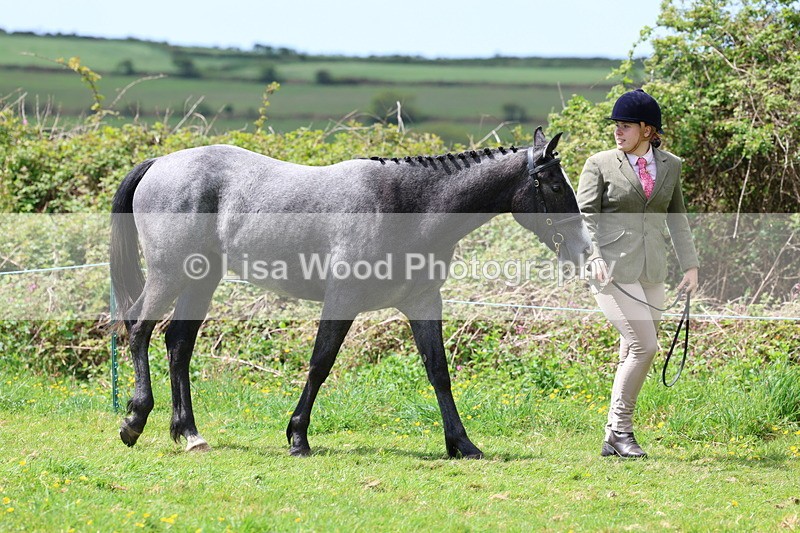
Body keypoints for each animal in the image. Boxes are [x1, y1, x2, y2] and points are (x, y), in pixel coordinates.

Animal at [110, 127, 592, 459]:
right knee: (139, 329)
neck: (406, 205)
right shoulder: (341, 301)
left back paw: (189, 433)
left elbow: (439, 371)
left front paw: (462, 444)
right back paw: (134, 419)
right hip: (170, 275)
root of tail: (160, 163)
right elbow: (320, 364)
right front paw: (298, 438)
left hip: (201, 280)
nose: (585, 248)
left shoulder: (422, 303)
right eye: (555, 185)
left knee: (178, 344)